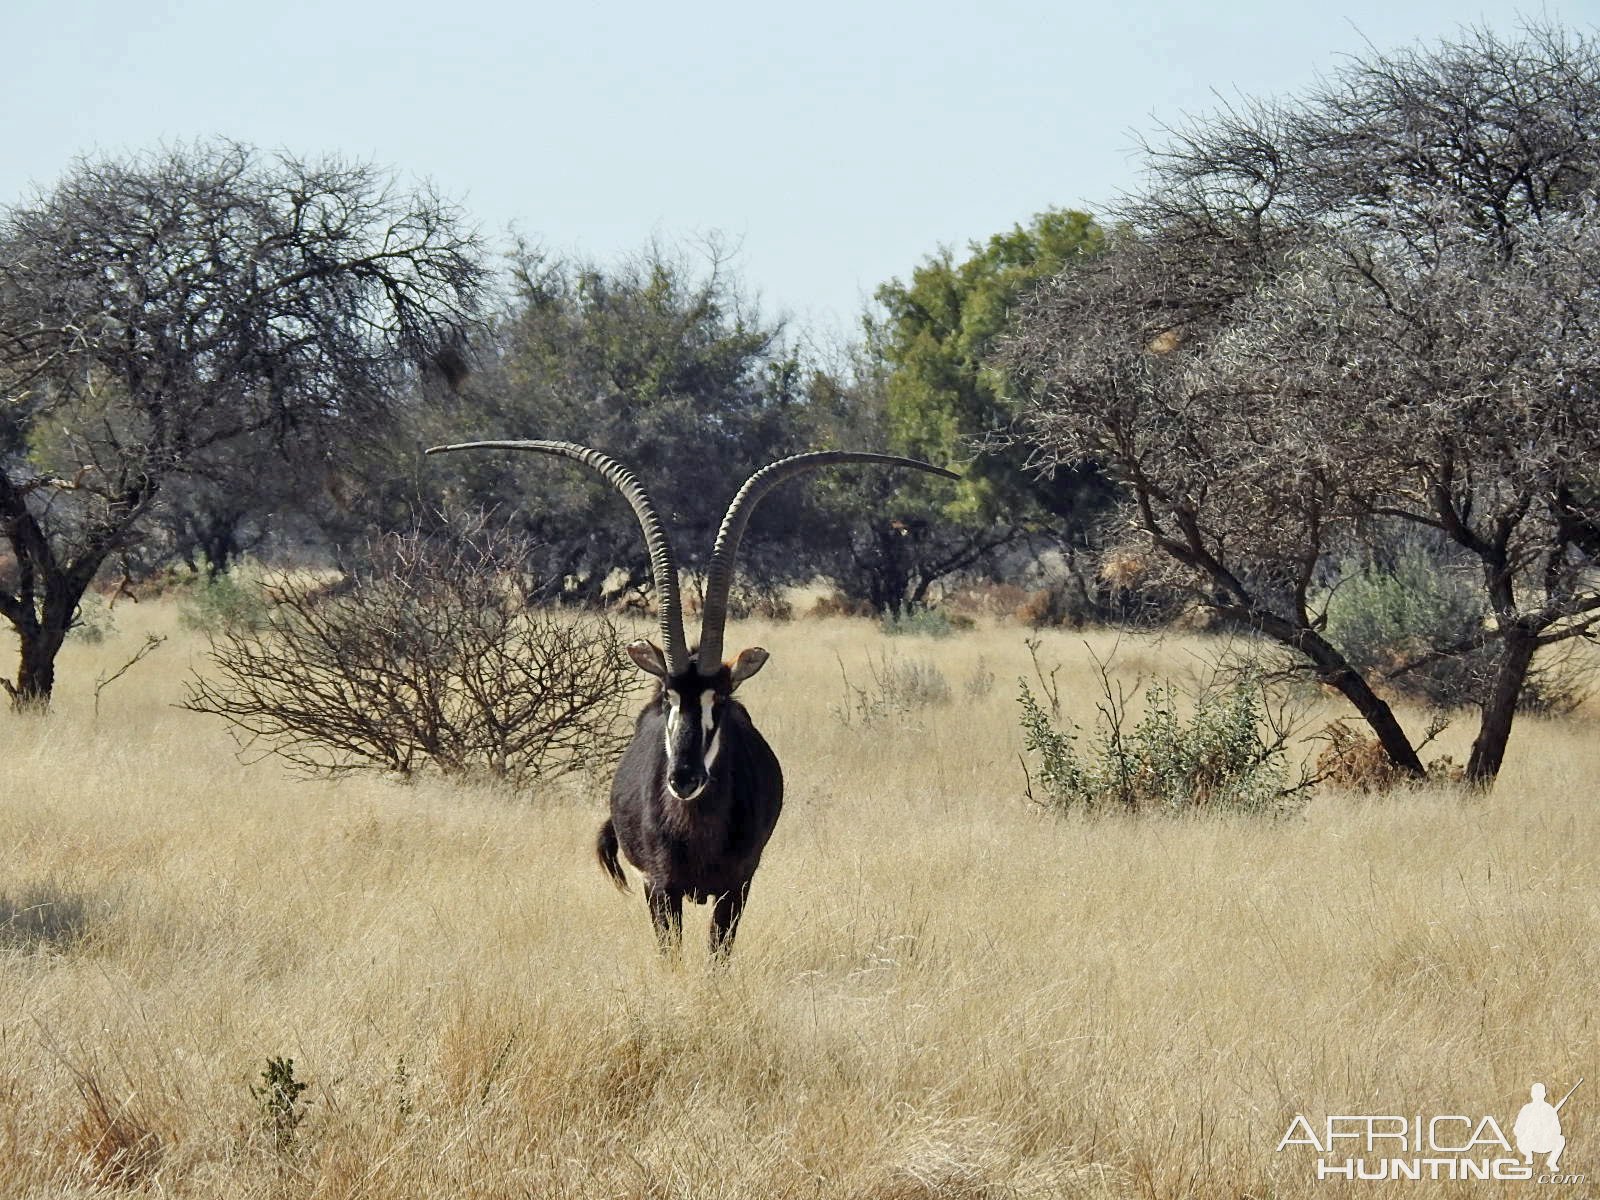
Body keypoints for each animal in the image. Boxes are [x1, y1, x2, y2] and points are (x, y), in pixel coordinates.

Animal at [419, 441, 953, 960]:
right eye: (669, 698)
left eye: (722, 699)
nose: (684, 778)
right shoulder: (660, 889)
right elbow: (671, 957)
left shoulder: (737, 888)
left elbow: (718, 958)